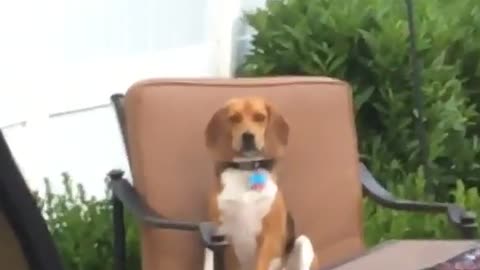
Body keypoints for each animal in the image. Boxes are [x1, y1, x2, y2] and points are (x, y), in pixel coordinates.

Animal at [203, 96, 318, 270]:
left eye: (260, 117)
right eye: (234, 118)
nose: (247, 136)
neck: (247, 170)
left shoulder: (270, 236)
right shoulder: (218, 234)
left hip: (303, 243)